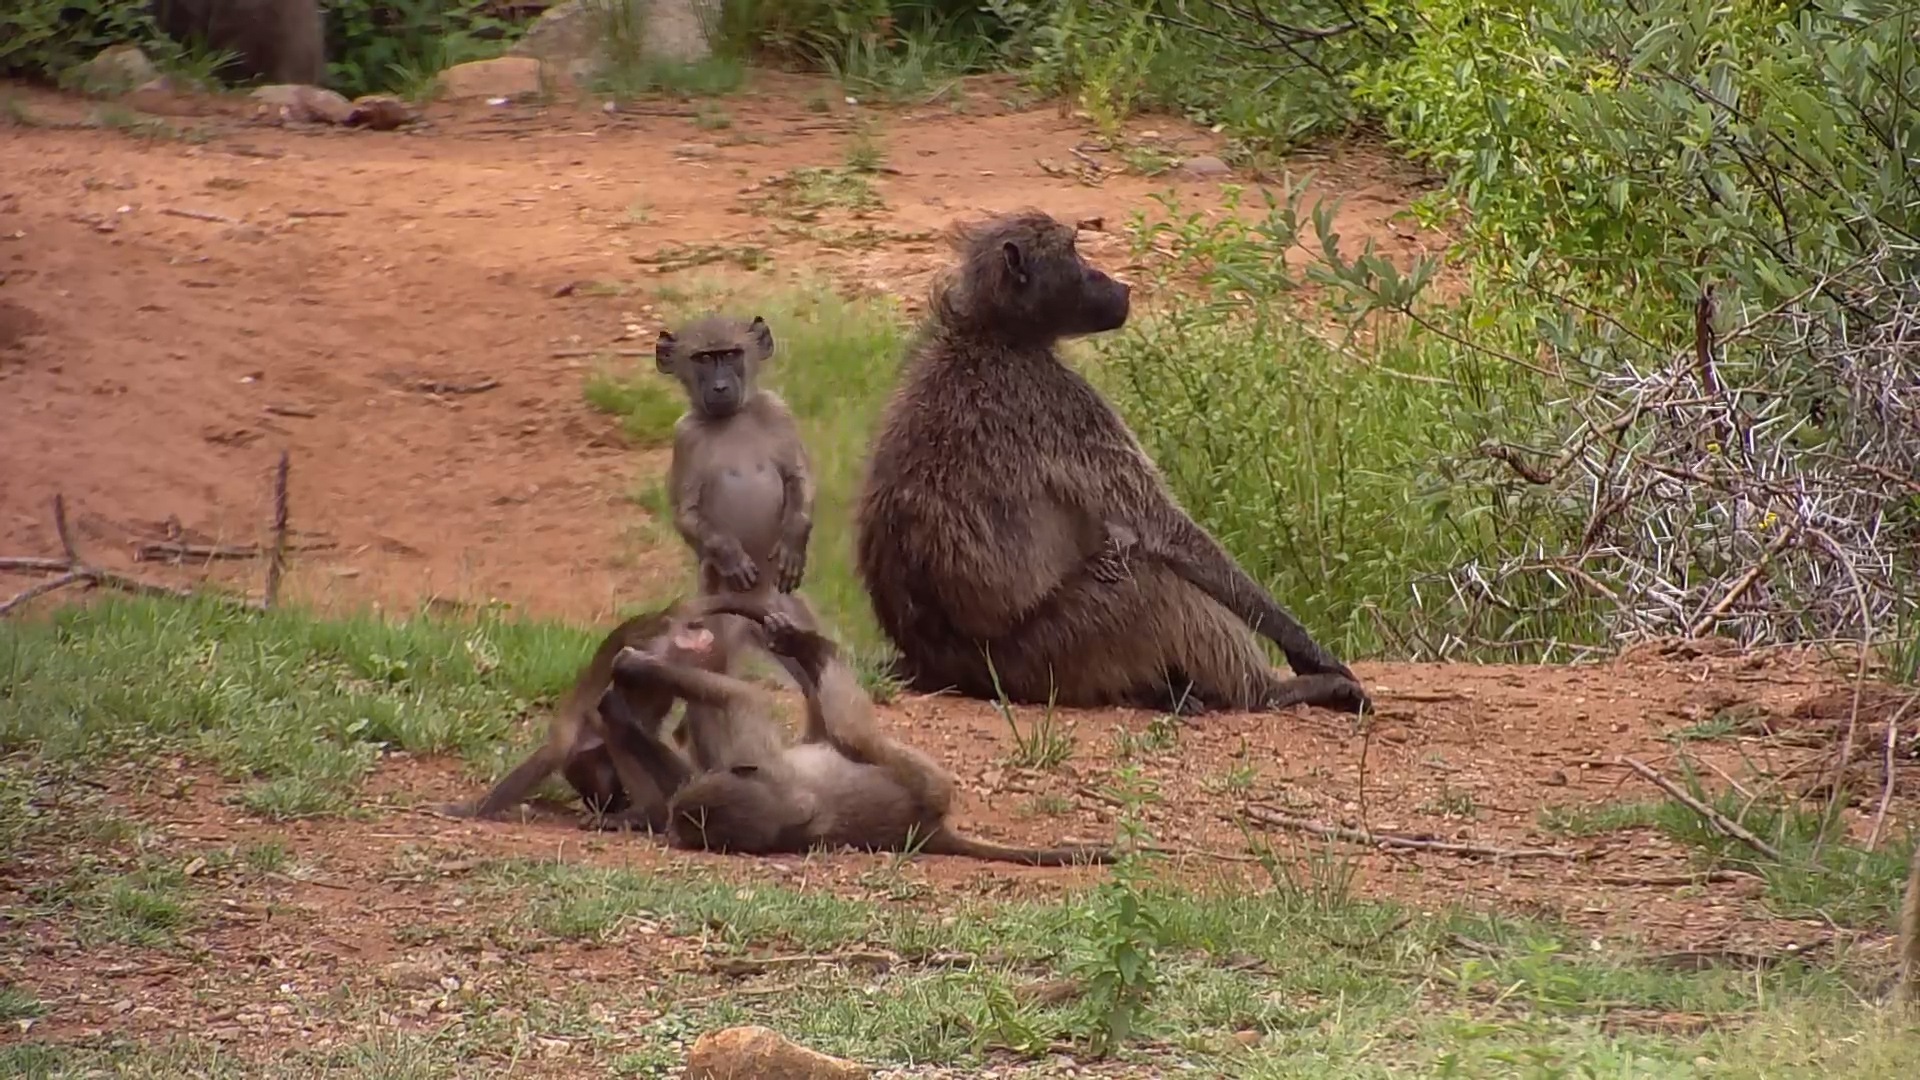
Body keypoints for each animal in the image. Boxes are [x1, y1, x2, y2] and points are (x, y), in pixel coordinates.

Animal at [609, 595, 1120, 866]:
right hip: (928, 785)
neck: (778, 808)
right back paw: (806, 647)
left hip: (924, 783)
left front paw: (630, 675)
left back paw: (802, 644)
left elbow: (742, 700)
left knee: (849, 731)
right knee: (851, 731)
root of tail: (929, 830)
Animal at [852, 209, 1371, 718]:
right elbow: (1164, 529)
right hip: (1058, 649)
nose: (1114, 282)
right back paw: (1272, 692)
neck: (991, 330)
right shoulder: (1064, 402)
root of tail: (942, 666)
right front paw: (1307, 650)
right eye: (1075, 252)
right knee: (1151, 581)